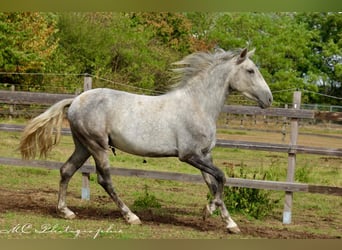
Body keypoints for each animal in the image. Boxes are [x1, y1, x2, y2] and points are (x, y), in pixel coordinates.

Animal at [18, 47, 272, 233]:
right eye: (250, 70)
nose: (268, 99)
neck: (198, 105)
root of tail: (76, 101)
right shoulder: (189, 155)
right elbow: (221, 177)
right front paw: (209, 211)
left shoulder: (205, 155)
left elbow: (214, 182)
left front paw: (229, 223)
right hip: (97, 146)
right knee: (104, 179)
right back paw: (131, 216)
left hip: (83, 146)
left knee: (66, 170)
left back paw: (66, 212)